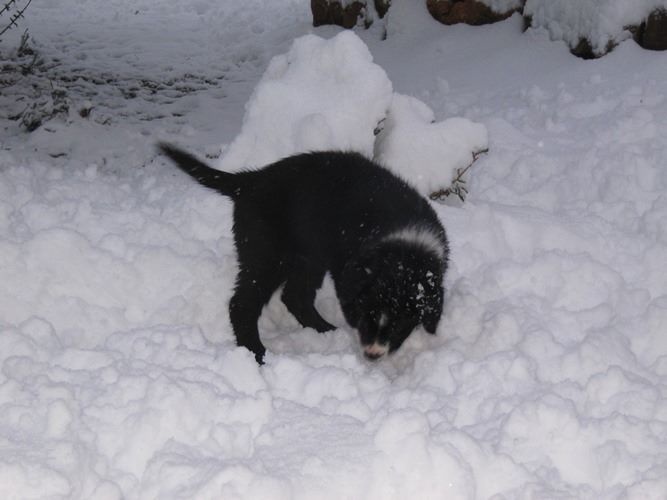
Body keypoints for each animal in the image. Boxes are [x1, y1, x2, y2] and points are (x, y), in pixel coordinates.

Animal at [159, 144, 448, 364]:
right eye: (369, 316)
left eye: (401, 324)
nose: (373, 355)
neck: (404, 247)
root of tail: (250, 180)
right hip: (266, 255)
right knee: (242, 304)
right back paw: (257, 354)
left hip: (308, 259)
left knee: (295, 297)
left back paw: (325, 331)